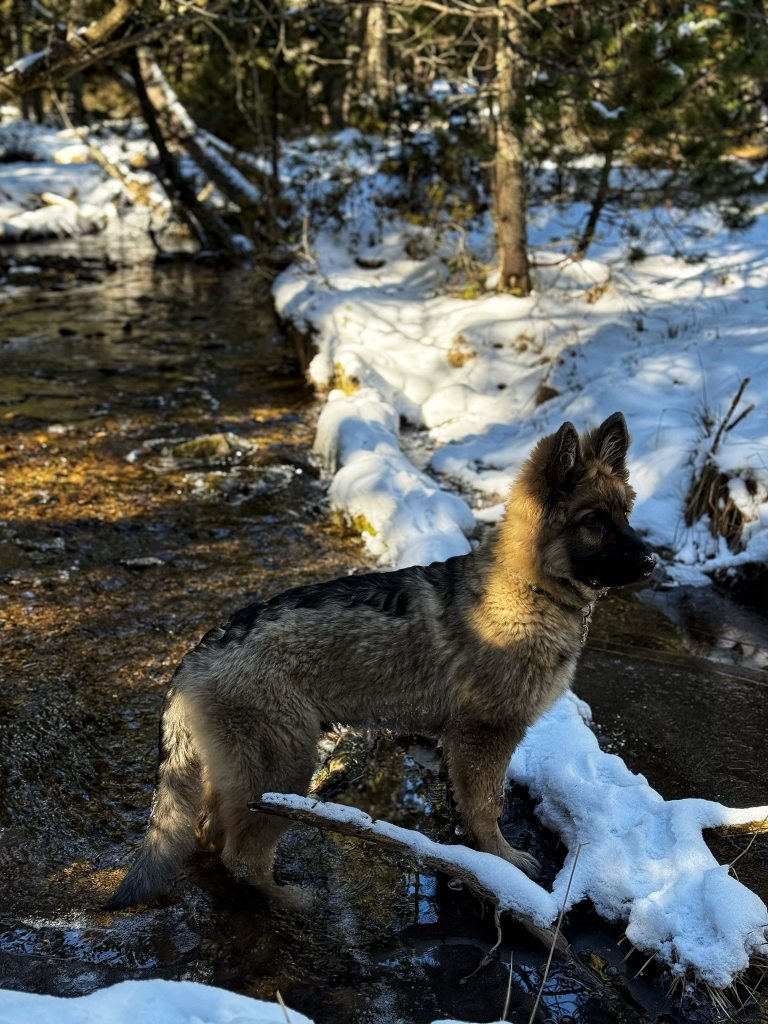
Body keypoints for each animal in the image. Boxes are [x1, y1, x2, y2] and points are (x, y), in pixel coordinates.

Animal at [108, 412, 654, 909]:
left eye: (626, 512)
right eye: (592, 522)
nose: (651, 562)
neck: (528, 585)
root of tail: (199, 653)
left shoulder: (458, 743)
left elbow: (464, 807)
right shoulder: (485, 736)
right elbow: (487, 808)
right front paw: (502, 862)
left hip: (241, 767)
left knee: (209, 833)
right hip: (283, 770)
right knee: (241, 855)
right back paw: (290, 900)